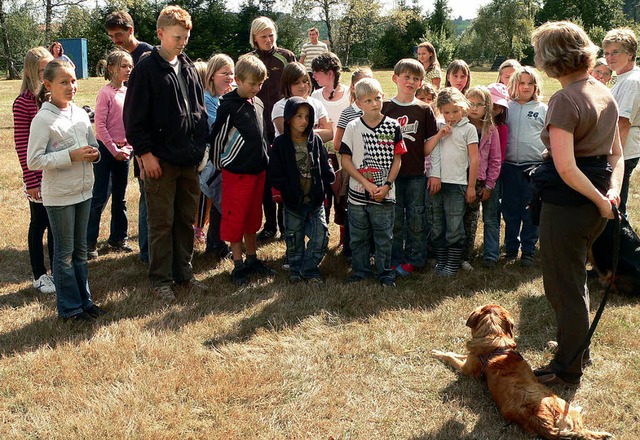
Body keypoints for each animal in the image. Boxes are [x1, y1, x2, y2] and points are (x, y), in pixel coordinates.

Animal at [432, 304, 612, 438]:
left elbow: (452, 357)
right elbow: (453, 354)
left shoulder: (466, 368)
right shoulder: (469, 361)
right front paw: (438, 352)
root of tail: (541, 421)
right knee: (581, 431)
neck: (494, 337)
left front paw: (437, 353)